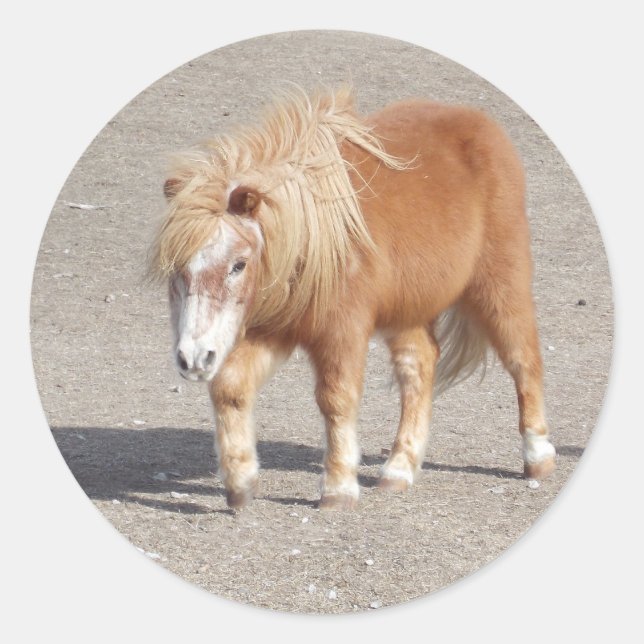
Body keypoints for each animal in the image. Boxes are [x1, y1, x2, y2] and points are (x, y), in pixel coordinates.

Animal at [149, 86, 556, 511]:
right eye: (177, 268)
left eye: (238, 264)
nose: (194, 359)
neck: (315, 238)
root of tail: (480, 124)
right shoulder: (275, 330)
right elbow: (229, 389)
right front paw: (240, 484)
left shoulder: (341, 331)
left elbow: (336, 399)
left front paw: (338, 490)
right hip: (408, 311)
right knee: (419, 366)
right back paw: (398, 470)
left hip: (500, 284)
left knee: (523, 359)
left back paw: (538, 457)